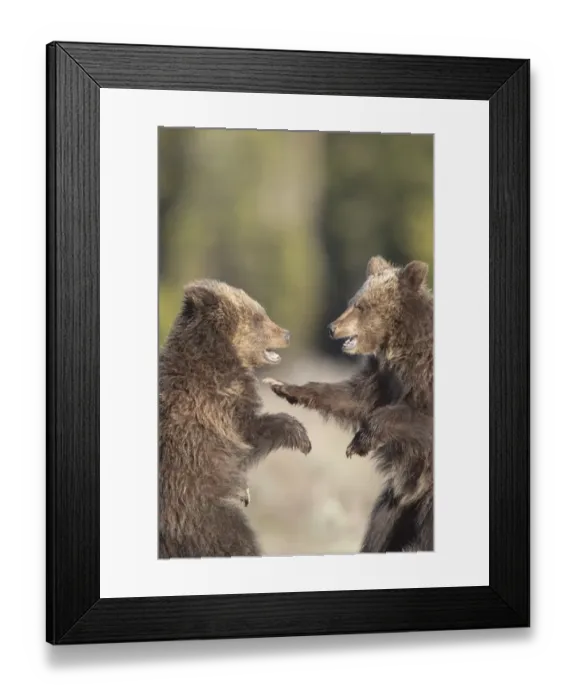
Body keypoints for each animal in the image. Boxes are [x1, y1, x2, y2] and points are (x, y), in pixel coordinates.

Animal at [158, 278, 312, 559]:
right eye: (258, 317)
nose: (286, 334)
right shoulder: (216, 407)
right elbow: (251, 434)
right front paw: (301, 436)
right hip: (202, 515)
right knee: (236, 540)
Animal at [265, 255, 434, 553]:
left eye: (361, 305)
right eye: (353, 300)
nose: (332, 327)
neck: (401, 346)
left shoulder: (424, 379)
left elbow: (403, 416)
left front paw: (360, 441)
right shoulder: (384, 378)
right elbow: (354, 398)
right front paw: (283, 386)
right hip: (398, 505)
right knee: (380, 530)